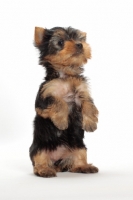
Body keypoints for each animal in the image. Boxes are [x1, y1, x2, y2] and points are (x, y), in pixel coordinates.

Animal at [29, 25, 98, 177]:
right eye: (60, 42)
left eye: (79, 39)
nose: (80, 45)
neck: (66, 74)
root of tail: (57, 162)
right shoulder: (43, 98)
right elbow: (58, 102)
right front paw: (61, 122)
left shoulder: (82, 91)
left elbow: (88, 103)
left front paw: (90, 123)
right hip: (39, 147)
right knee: (39, 159)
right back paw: (44, 170)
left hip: (79, 145)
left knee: (79, 157)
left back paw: (84, 166)